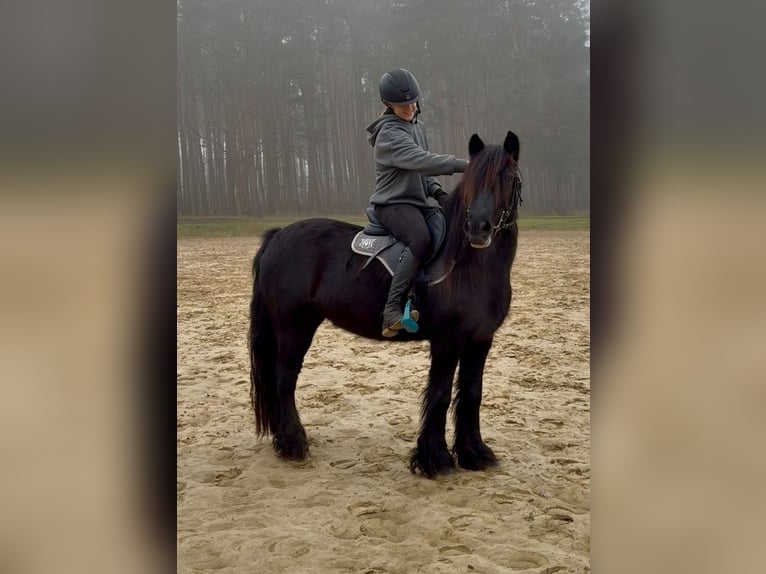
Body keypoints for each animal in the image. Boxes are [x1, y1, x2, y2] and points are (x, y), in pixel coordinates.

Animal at [249, 131, 522, 478]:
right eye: (472, 180)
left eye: (508, 177)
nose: (478, 229)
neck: (467, 264)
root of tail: (278, 235)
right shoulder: (447, 340)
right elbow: (440, 393)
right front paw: (434, 459)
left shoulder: (480, 339)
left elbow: (472, 392)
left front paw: (474, 453)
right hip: (292, 327)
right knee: (284, 379)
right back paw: (293, 443)